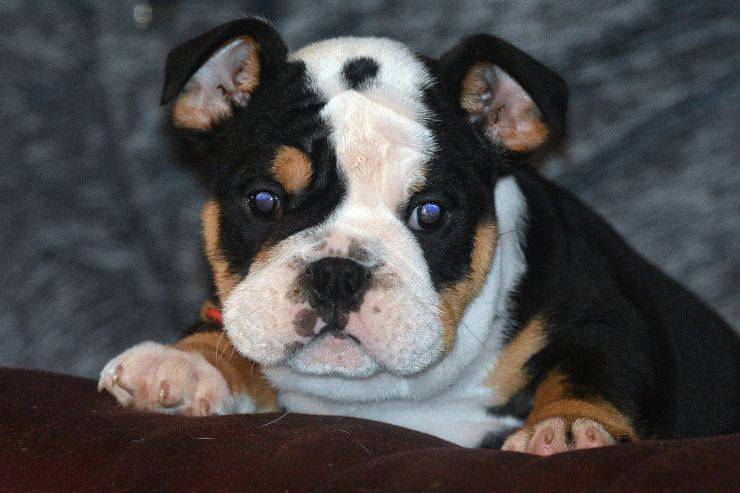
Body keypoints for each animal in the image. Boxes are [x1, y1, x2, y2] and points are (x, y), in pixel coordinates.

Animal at [98, 17, 740, 452]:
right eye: (262, 201)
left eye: (430, 214)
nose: (338, 272)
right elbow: (230, 335)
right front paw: (183, 363)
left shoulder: (603, 310)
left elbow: (597, 366)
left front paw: (568, 425)